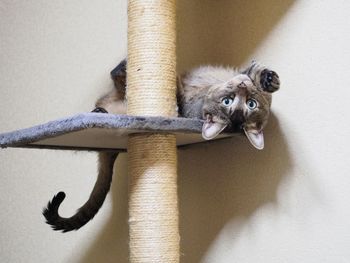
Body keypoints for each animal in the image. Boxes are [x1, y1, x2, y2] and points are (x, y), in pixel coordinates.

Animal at [43, 58, 278, 232]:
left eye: (248, 104)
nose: (242, 87)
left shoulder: (183, 103)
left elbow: (176, 86)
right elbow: (253, 72)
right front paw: (268, 78)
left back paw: (102, 110)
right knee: (114, 82)